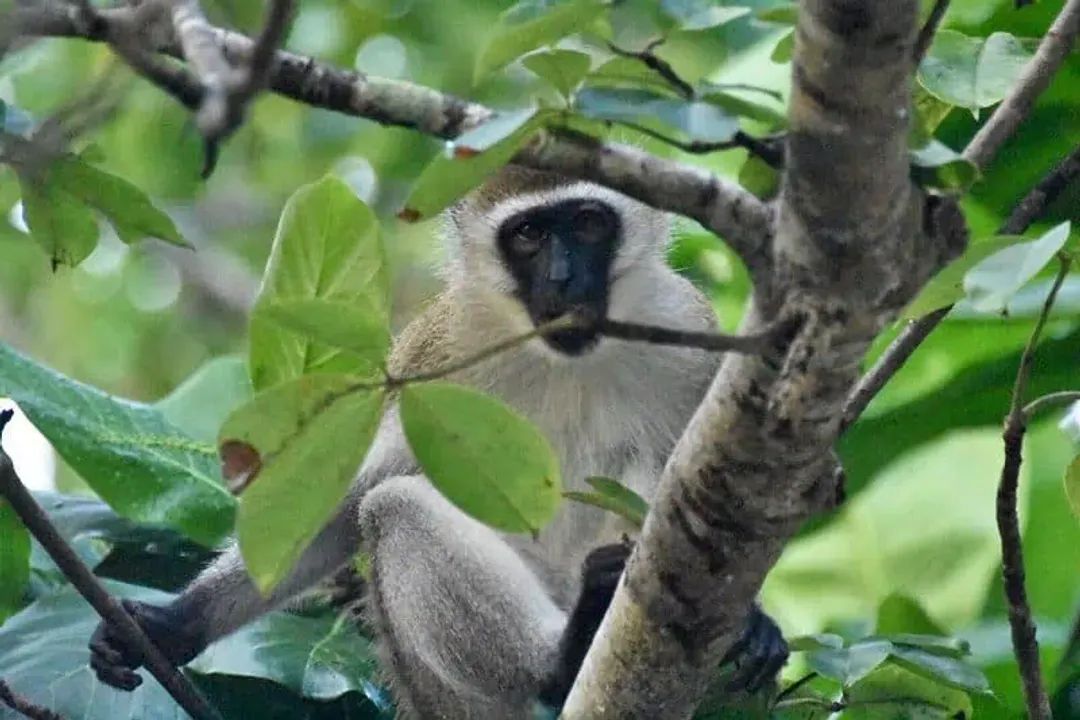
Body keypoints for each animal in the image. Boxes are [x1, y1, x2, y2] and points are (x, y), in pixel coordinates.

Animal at [88, 165, 789, 717]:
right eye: (529, 235)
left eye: (590, 223)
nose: (563, 278)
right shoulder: (436, 359)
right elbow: (345, 504)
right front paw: (178, 623)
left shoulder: (690, 337)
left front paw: (753, 622)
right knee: (394, 509)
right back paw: (562, 658)